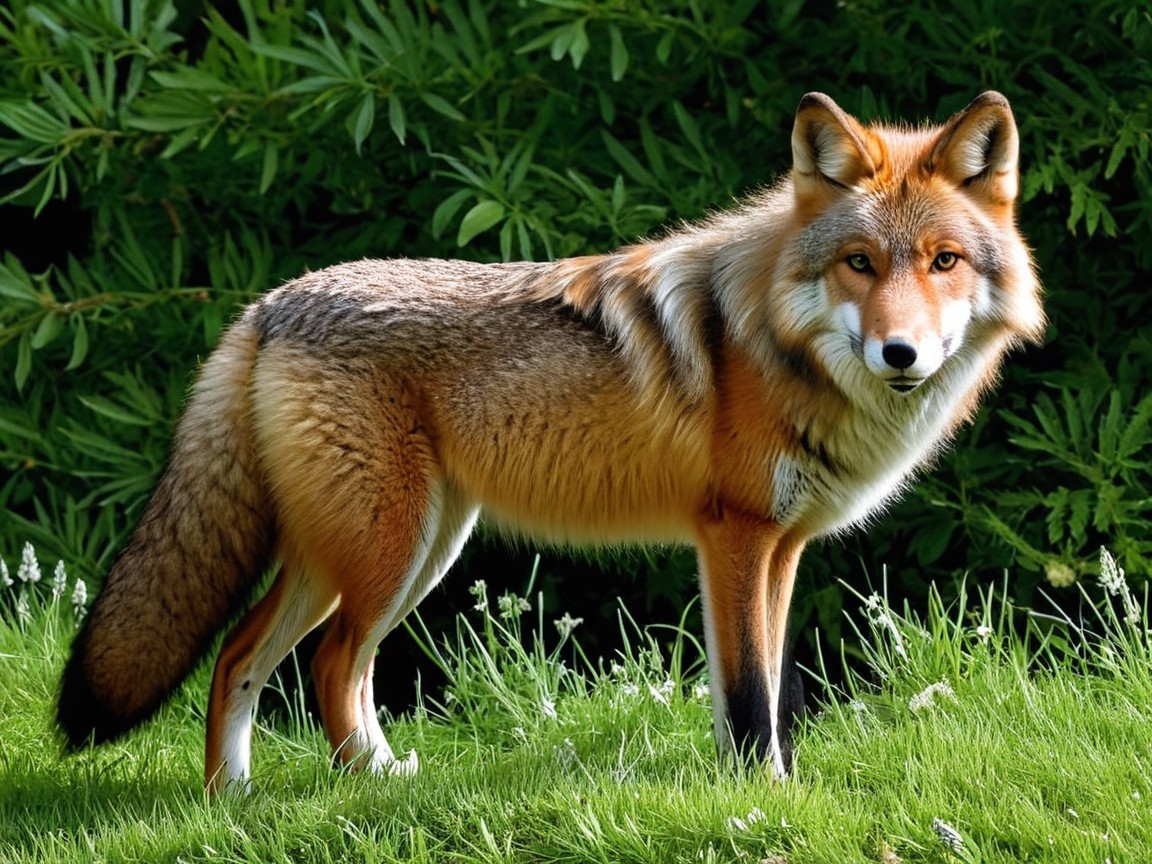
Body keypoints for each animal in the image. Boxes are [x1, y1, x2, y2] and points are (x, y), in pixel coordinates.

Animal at [58, 91, 1043, 791]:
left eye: (944, 262)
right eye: (860, 264)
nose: (900, 352)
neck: (771, 342)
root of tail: (269, 302)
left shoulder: (780, 549)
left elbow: (766, 693)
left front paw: (768, 787)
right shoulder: (734, 537)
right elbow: (749, 698)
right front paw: (760, 796)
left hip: (395, 554)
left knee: (252, 658)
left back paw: (239, 799)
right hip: (387, 553)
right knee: (327, 664)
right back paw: (364, 788)